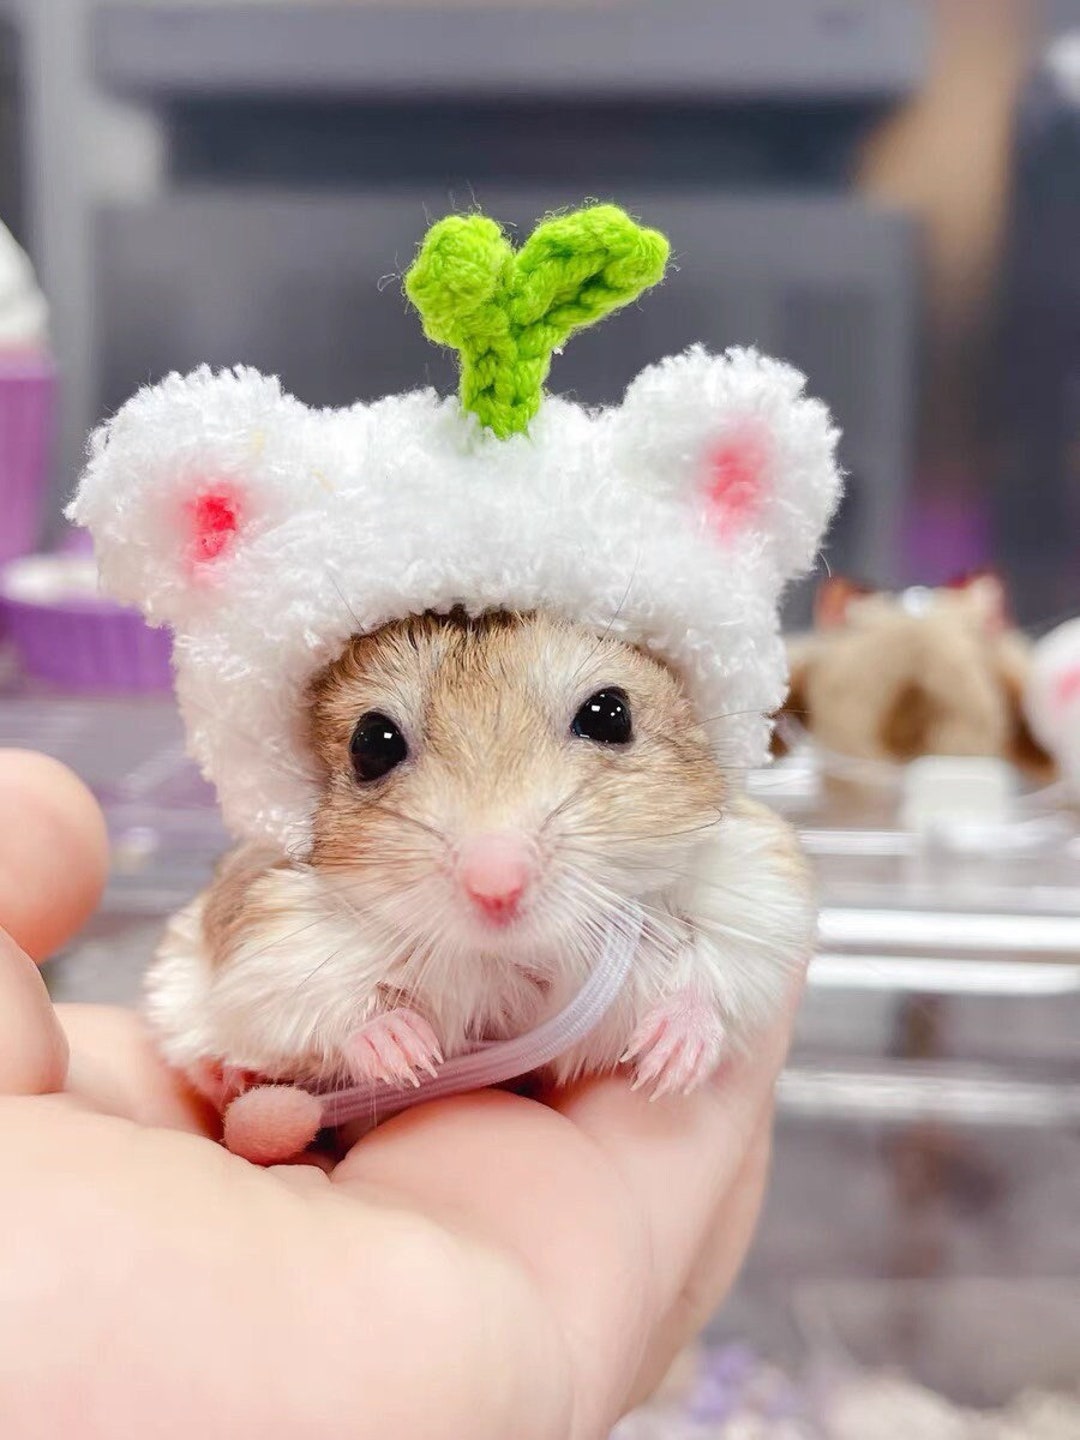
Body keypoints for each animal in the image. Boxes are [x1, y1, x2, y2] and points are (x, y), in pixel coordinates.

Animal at [148, 608, 814, 1129]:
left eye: (610, 714)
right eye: (371, 742)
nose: (496, 887)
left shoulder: (757, 889)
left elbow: (718, 973)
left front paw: (667, 1064)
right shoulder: (273, 937)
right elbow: (337, 1005)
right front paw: (409, 1054)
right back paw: (227, 1073)